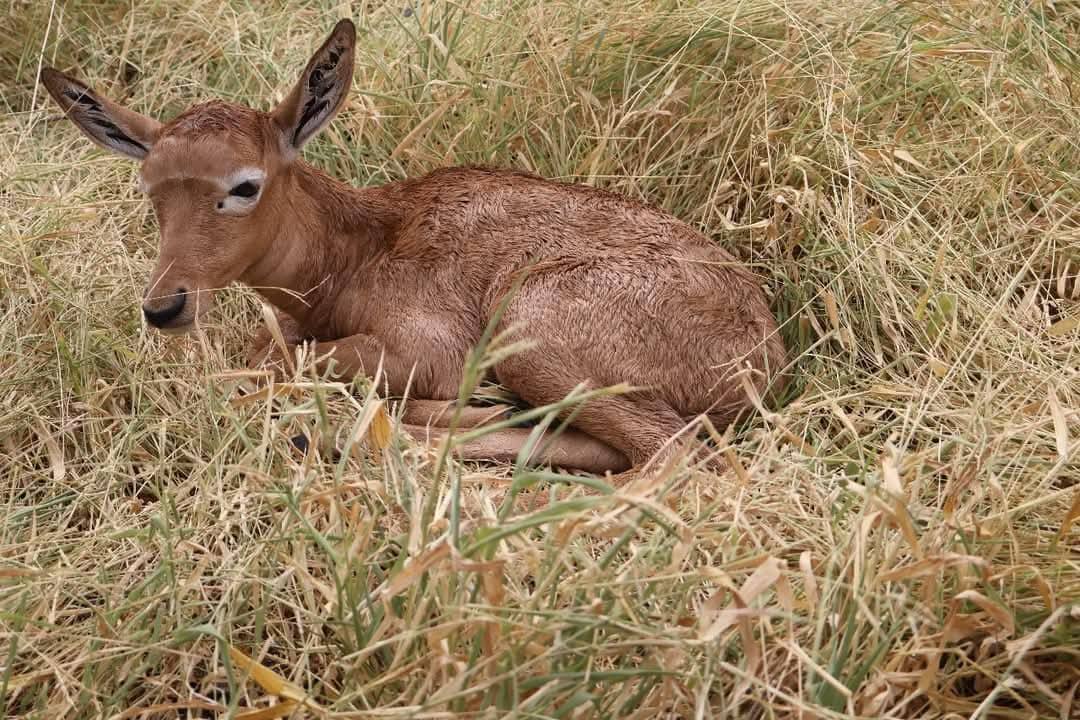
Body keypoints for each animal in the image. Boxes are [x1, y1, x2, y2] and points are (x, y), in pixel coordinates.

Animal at [40, 19, 787, 475]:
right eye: (150, 186)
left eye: (245, 185)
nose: (165, 306)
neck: (353, 252)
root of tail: (766, 353)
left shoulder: (426, 346)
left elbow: (278, 365)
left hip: (532, 331)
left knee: (676, 455)